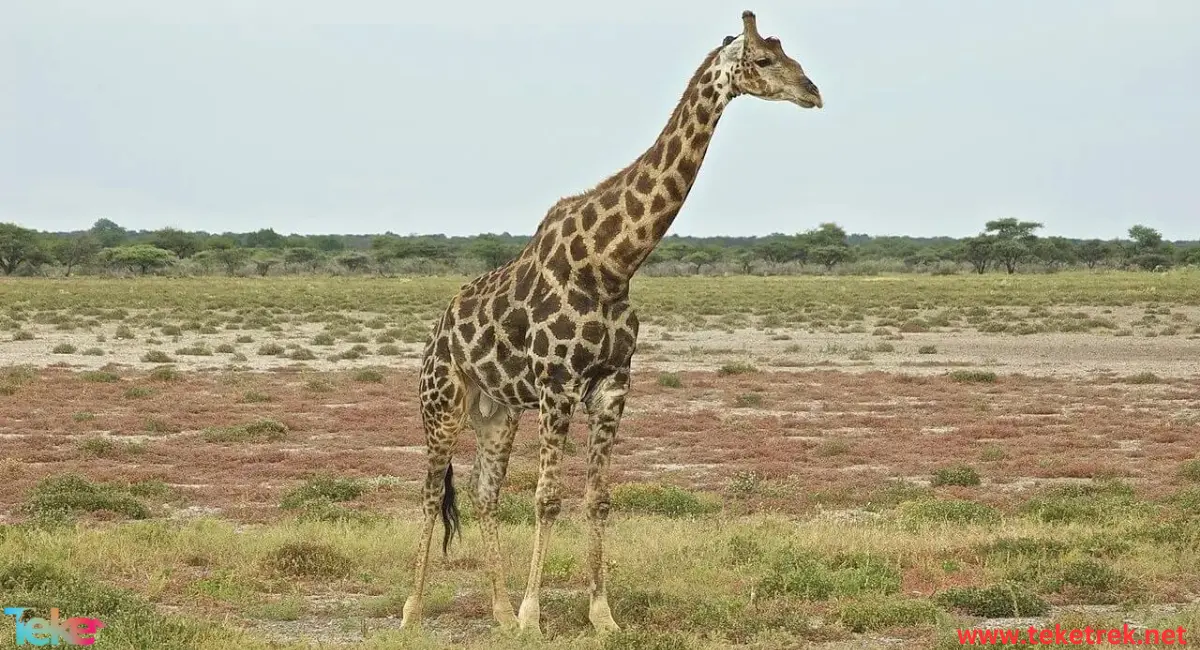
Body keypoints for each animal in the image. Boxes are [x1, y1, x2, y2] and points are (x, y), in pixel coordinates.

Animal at [398, 10, 820, 638]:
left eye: (789, 54)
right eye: (765, 59)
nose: (812, 92)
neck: (612, 262)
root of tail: (435, 333)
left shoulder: (614, 384)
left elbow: (597, 498)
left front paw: (601, 614)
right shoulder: (557, 386)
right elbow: (548, 498)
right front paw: (533, 617)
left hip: (497, 411)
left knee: (483, 492)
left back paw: (496, 612)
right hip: (441, 402)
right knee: (430, 492)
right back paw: (414, 610)